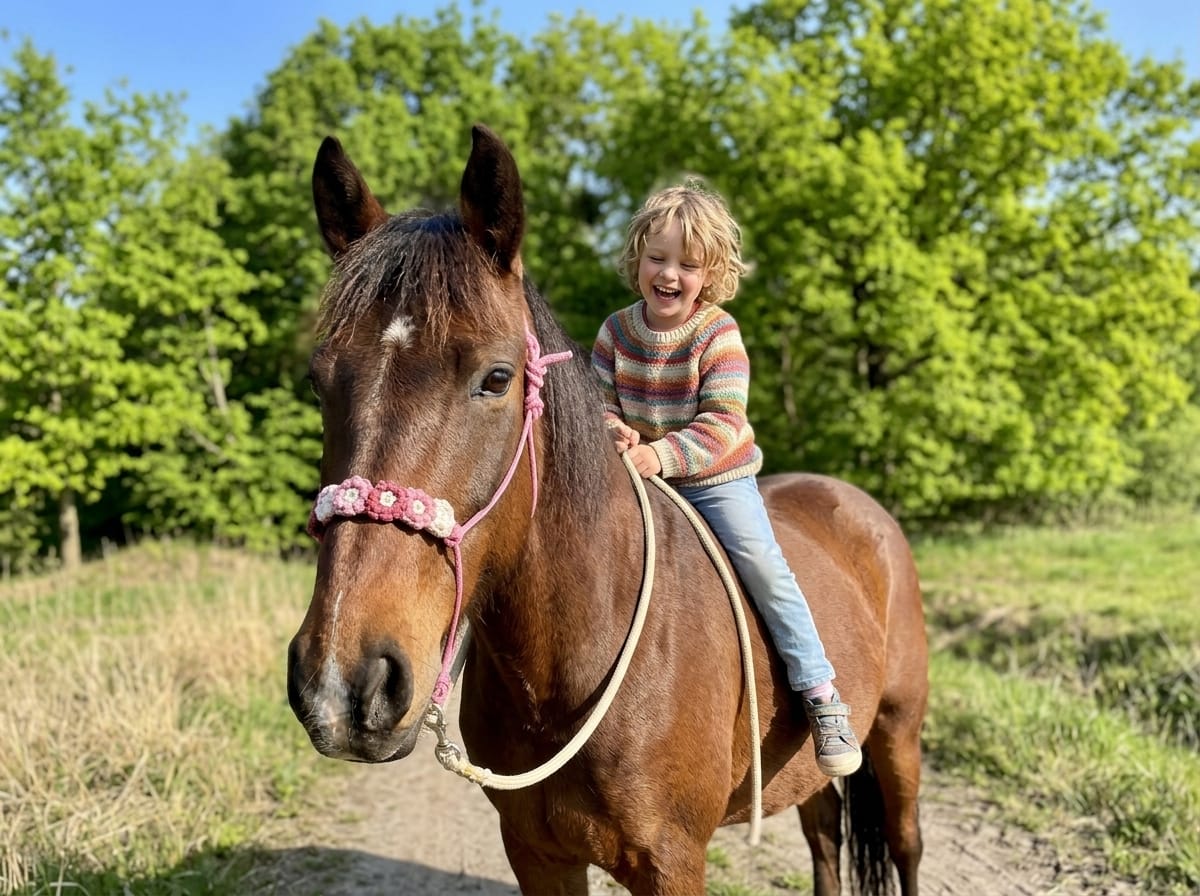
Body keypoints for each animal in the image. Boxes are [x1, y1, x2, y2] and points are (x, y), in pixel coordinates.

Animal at [287, 124, 928, 896]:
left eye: (496, 378)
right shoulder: (537, 855)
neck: (568, 670)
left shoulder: (672, 861)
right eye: (318, 380)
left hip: (897, 731)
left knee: (905, 843)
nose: (345, 684)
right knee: (824, 834)